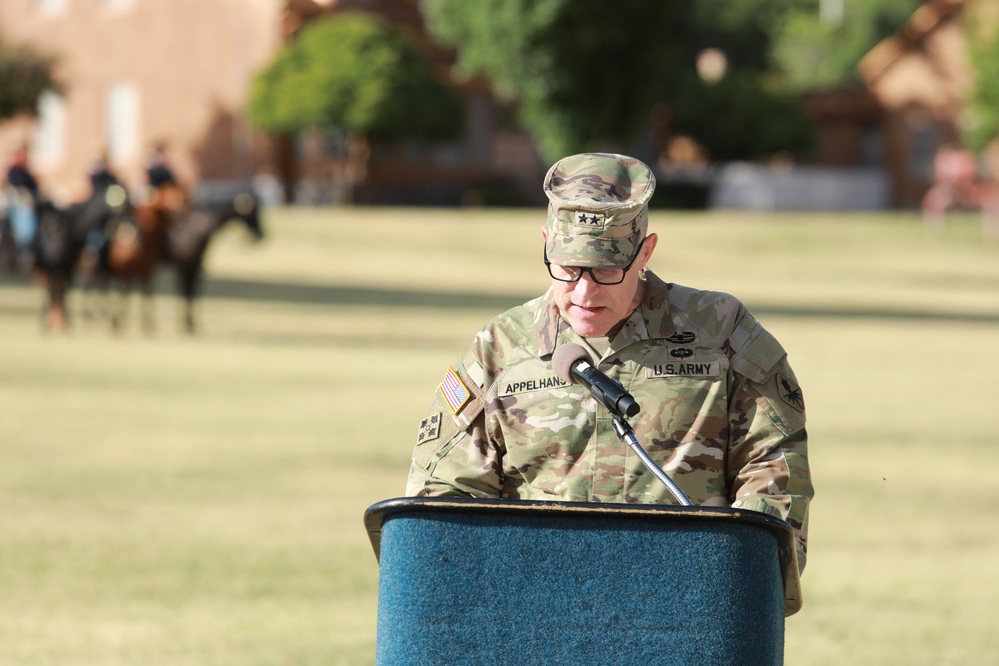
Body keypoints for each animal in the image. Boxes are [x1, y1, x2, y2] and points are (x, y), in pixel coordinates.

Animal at [163, 189, 262, 332]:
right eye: (253, 213)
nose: (260, 235)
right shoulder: (188, 264)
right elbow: (189, 290)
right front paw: (189, 323)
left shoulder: (191, 264)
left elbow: (189, 290)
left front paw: (189, 322)